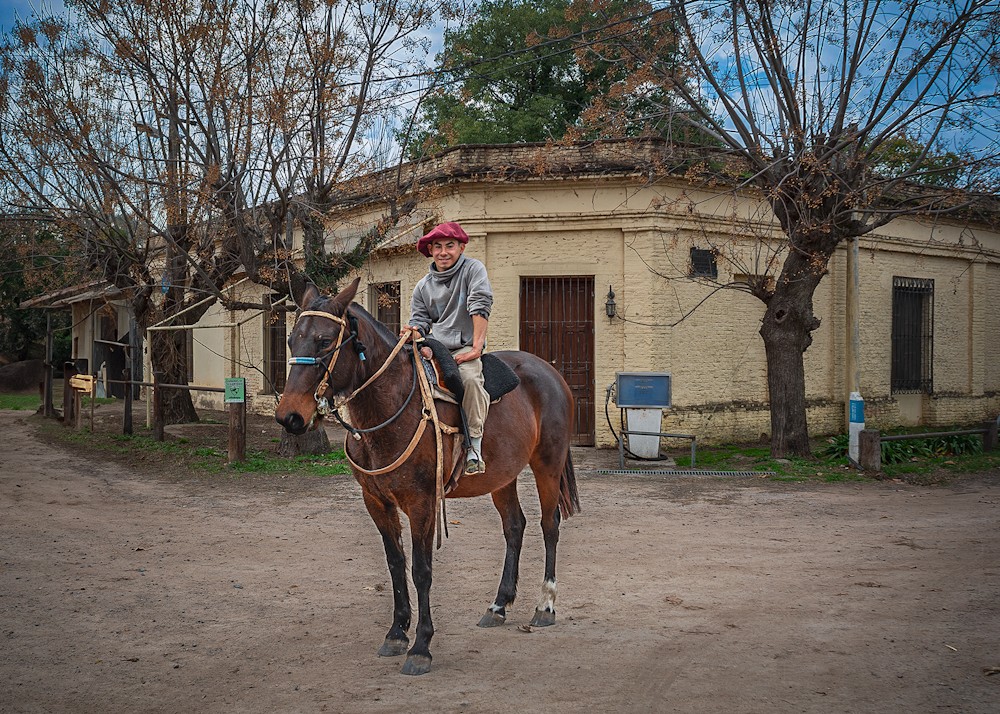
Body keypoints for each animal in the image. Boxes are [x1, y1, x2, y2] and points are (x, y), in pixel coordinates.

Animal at [278, 278, 584, 672]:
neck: (392, 408)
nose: (290, 416)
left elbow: (421, 570)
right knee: (515, 526)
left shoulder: (421, 502)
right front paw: (397, 633)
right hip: (502, 476)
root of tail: (550, 372)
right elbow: (396, 564)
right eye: (291, 340)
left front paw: (421, 646)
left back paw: (545, 604)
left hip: (548, 463)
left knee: (550, 525)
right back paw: (498, 605)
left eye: (325, 340)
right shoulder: (375, 501)